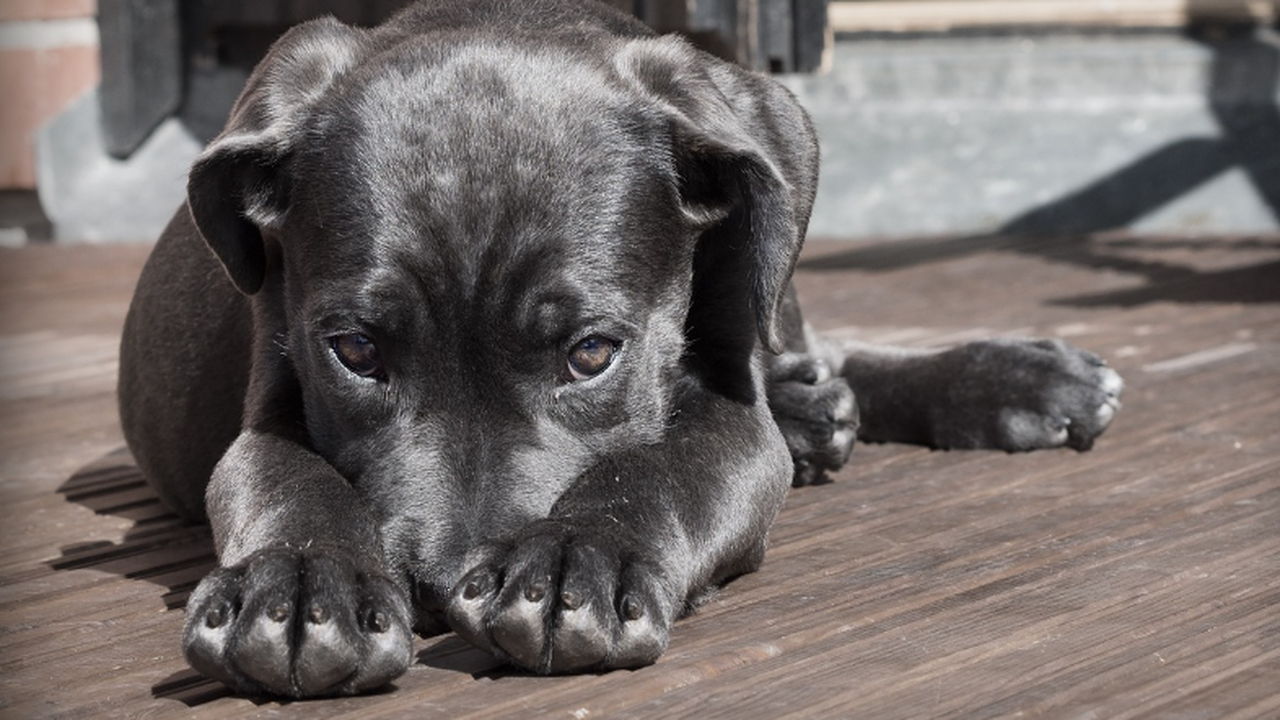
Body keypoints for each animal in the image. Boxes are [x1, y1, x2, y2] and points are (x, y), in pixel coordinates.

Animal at [117, 0, 1121, 696]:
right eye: (356, 350)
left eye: (593, 354)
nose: (442, 588)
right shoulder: (272, 392)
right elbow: (283, 477)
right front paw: (297, 587)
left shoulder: (728, 408)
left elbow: (665, 466)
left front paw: (577, 559)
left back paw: (1012, 379)